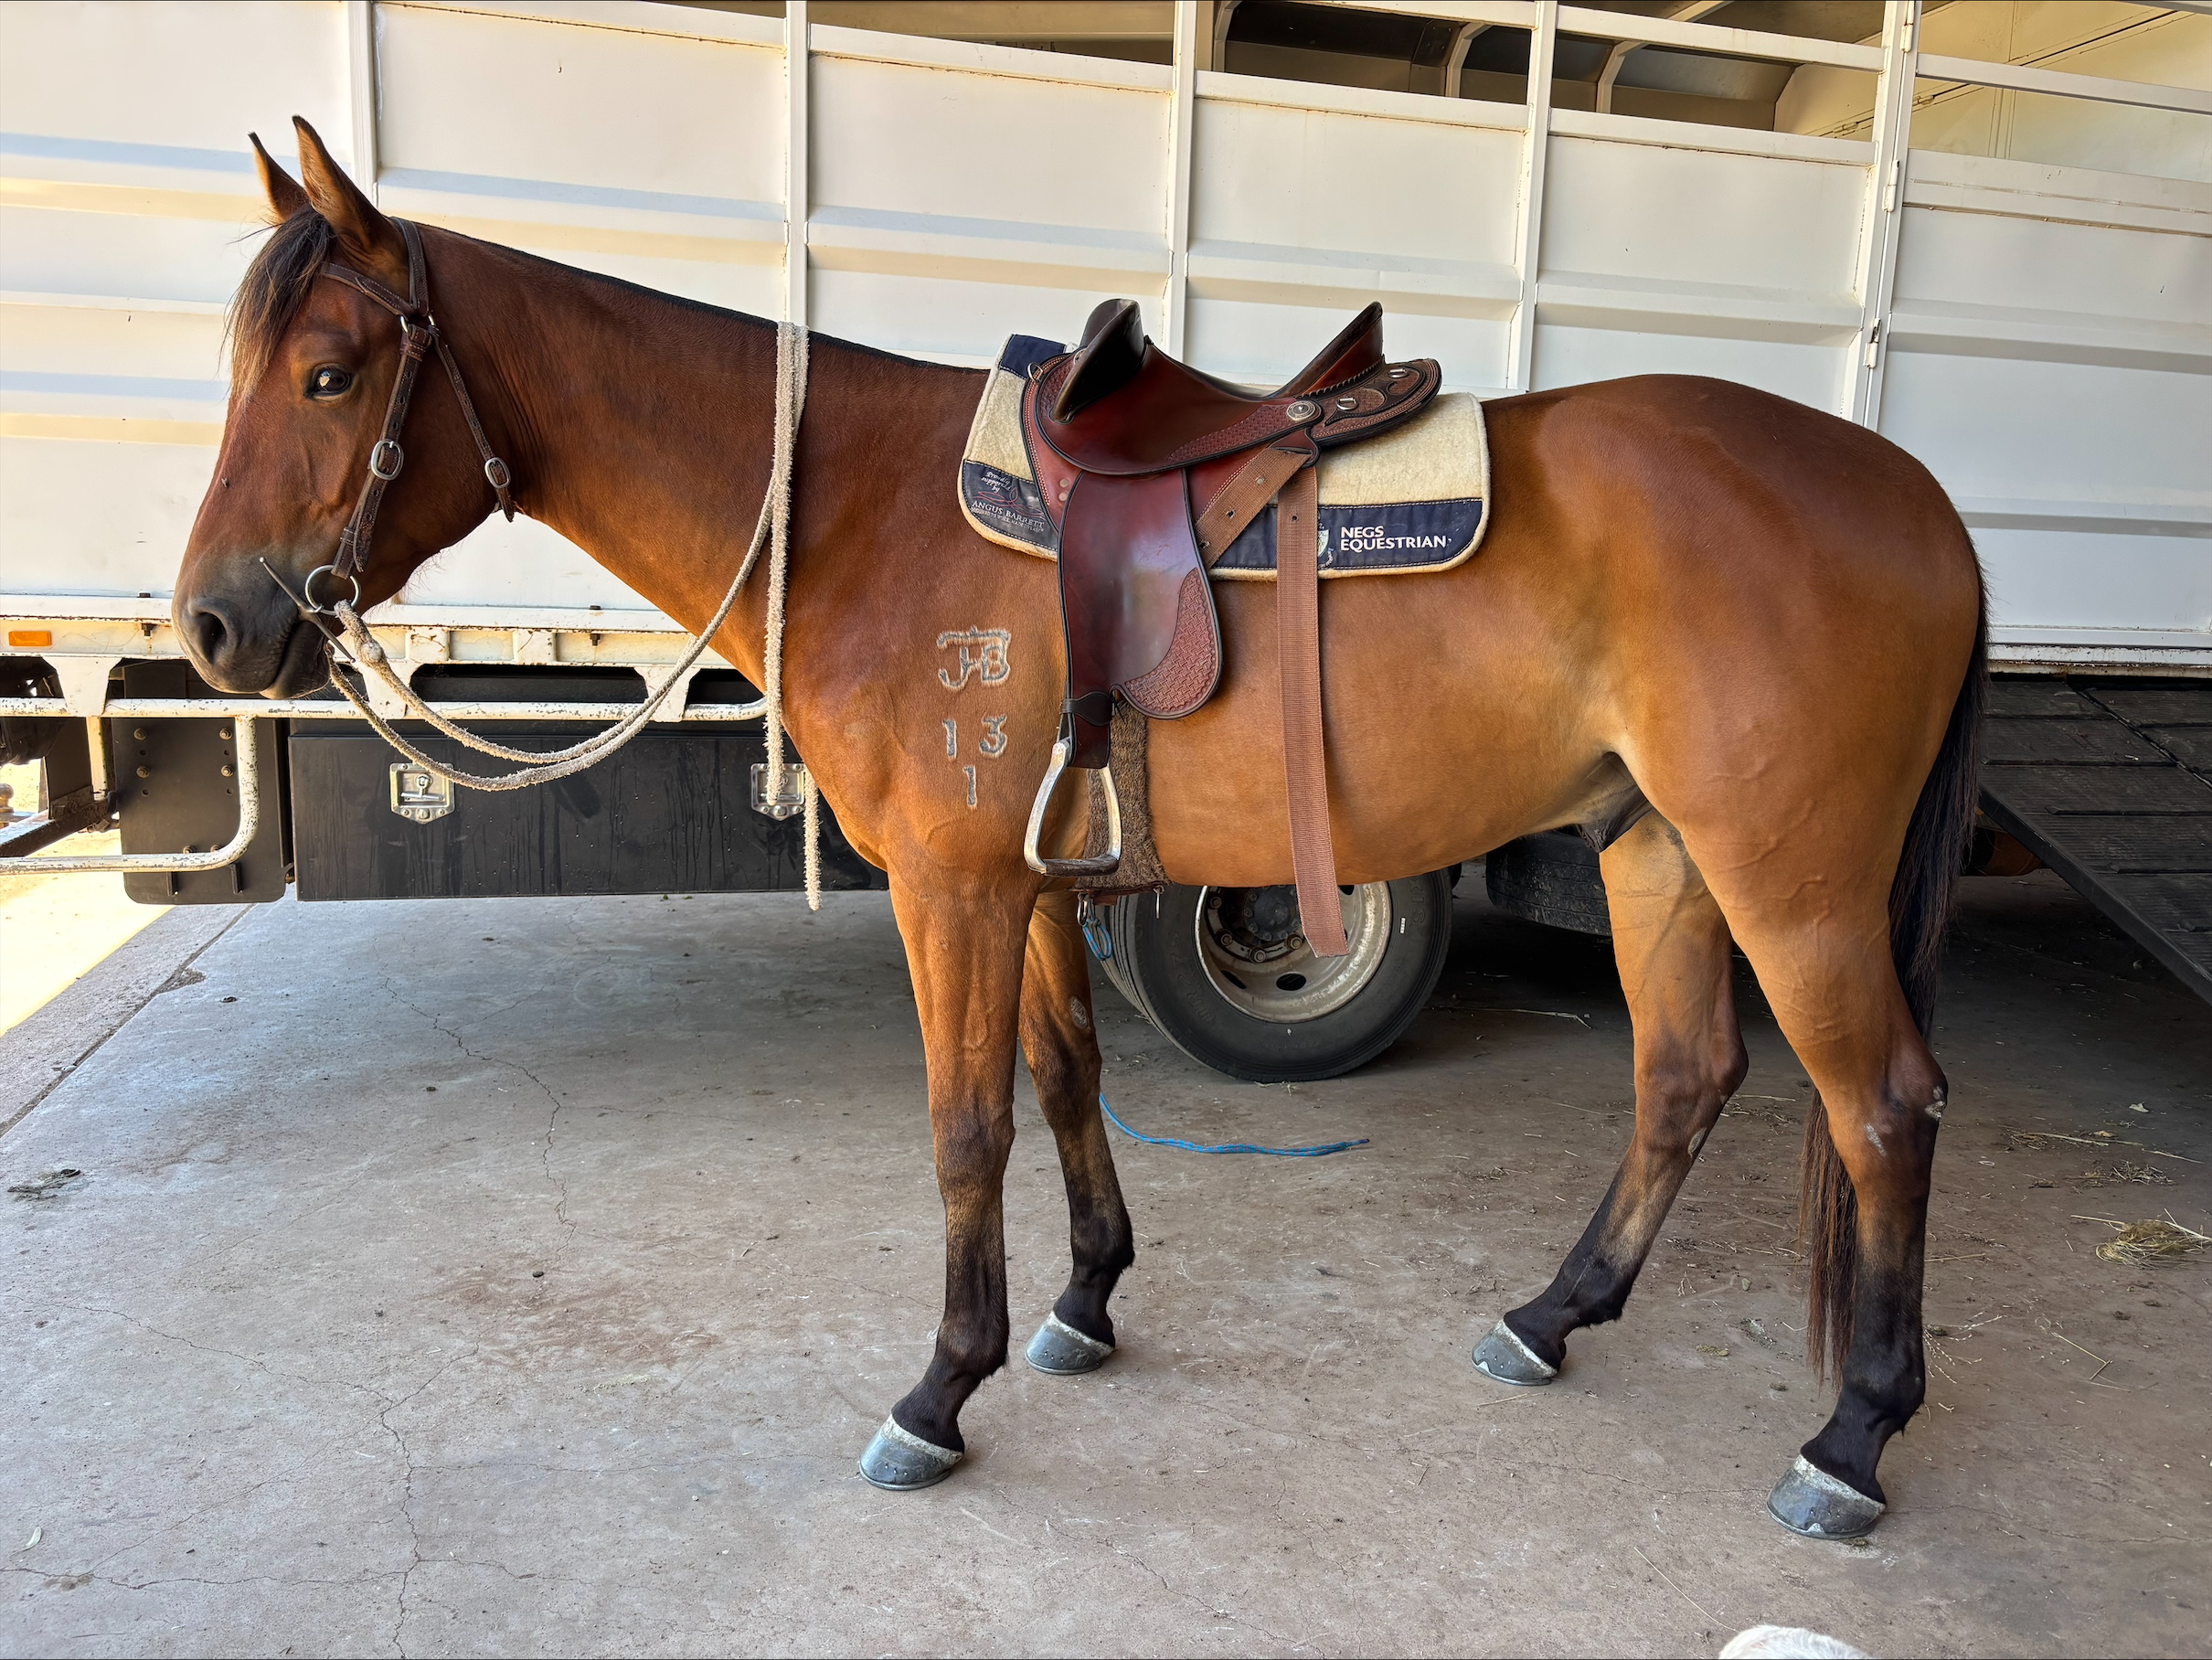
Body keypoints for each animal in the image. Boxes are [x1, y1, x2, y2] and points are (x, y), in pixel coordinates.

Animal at [173, 118, 1984, 1538]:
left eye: (328, 373)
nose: (211, 625)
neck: (860, 511)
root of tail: (1924, 503)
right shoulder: (1030, 882)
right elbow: (1063, 1080)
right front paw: (1086, 1301)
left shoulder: (951, 890)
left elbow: (964, 1125)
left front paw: (938, 1391)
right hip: (1658, 849)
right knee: (1684, 1075)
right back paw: (1553, 1317)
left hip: (1792, 882)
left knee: (1884, 1108)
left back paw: (1851, 1440)